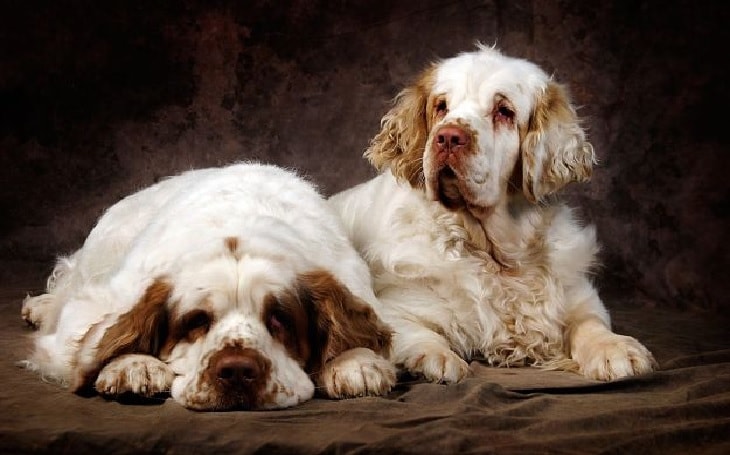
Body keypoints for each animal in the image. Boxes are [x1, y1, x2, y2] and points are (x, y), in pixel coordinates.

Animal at [22, 163, 396, 410]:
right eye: (196, 321)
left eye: (280, 319)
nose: (237, 370)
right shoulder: (101, 302)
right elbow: (94, 336)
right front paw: (133, 365)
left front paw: (356, 362)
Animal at [328, 45, 656, 384]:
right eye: (441, 106)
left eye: (504, 111)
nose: (448, 137)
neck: (498, 255)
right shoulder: (395, 305)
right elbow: (415, 333)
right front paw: (439, 358)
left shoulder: (579, 296)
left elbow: (590, 323)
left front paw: (616, 349)